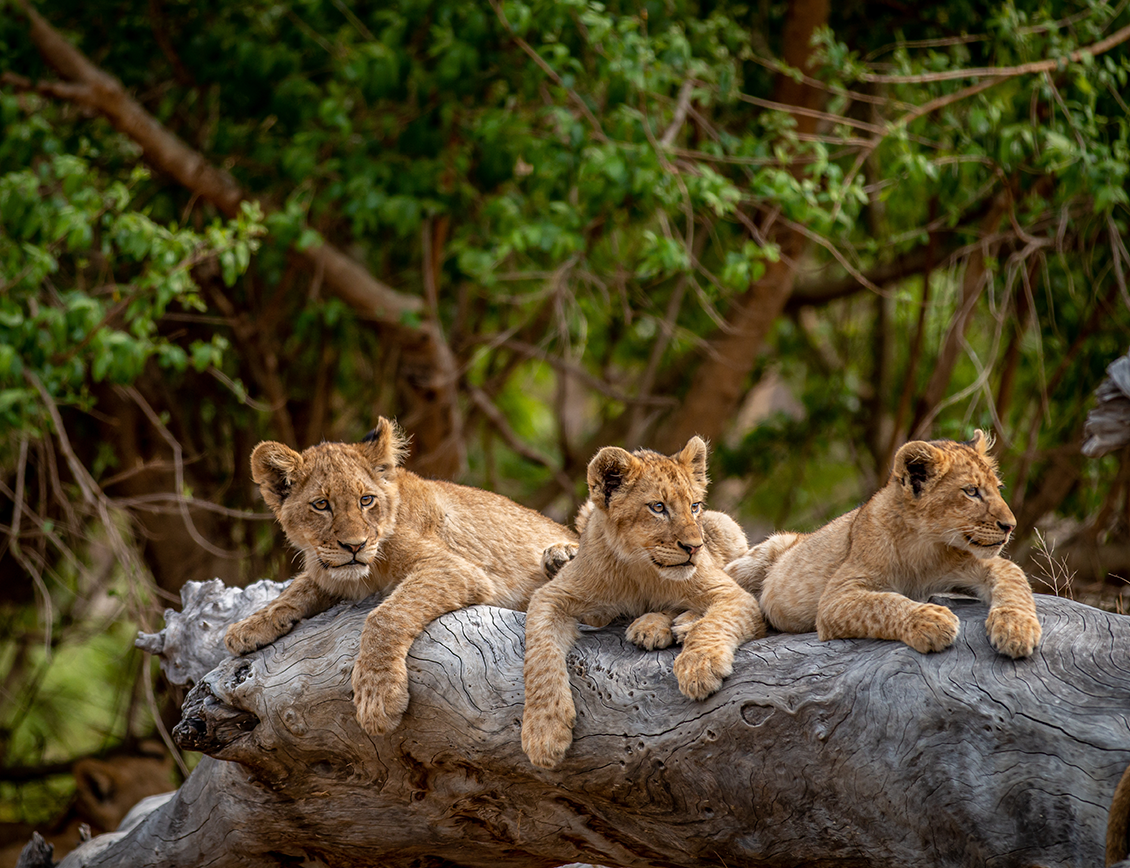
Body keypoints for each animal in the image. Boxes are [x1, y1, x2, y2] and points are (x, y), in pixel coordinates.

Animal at [225, 417, 578, 737]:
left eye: (366, 500)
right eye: (321, 505)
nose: (355, 546)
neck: (367, 572)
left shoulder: (456, 568)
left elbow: (385, 616)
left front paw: (378, 697)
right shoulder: (333, 572)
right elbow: (297, 589)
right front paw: (249, 627)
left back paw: (561, 556)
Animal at [520, 437, 765, 769]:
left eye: (694, 506)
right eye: (658, 507)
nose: (695, 547)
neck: (639, 568)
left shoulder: (733, 593)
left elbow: (716, 622)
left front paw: (699, 667)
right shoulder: (552, 597)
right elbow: (540, 656)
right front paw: (543, 731)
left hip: (726, 526)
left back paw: (668, 626)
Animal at [726, 430, 1041, 658]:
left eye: (998, 489)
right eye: (972, 492)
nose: (1010, 525)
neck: (924, 546)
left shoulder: (972, 564)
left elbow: (1013, 577)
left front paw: (1017, 627)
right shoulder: (835, 599)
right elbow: (884, 603)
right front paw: (931, 620)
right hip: (757, 559)